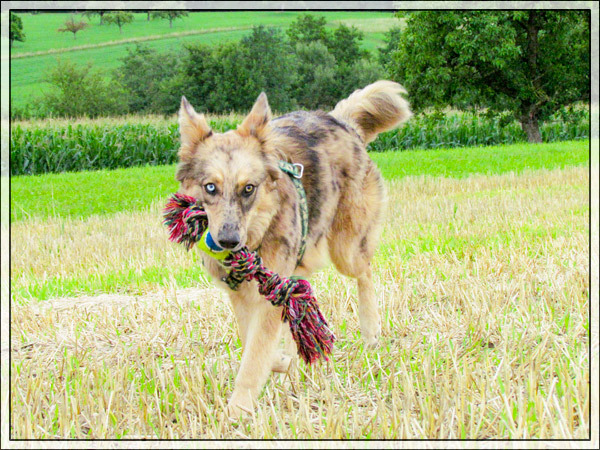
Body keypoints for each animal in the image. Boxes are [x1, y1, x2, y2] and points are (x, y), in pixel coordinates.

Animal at [175, 80, 412, 414]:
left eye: (249, 189)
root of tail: (340, 120)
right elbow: (254, 343)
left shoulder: (268, 294)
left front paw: (238, 409)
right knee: (301, 298)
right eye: (210, 187)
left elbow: (254, 357)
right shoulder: (242, 295)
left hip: (345, 250)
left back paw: (371, 331)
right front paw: (285, 363)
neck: (257, 236)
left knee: (365, 272)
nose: (228, 241)